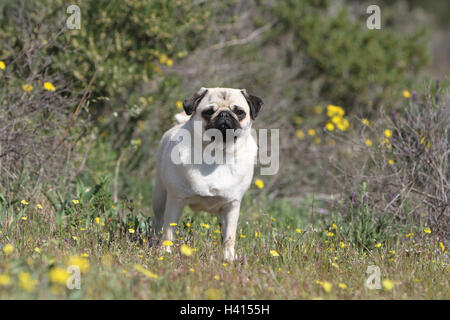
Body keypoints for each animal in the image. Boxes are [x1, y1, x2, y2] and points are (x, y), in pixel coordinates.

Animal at [152, 87, 262, 260]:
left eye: (239, 112)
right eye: (208, 112)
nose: (224, 114)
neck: (216, 153)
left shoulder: (232, 206)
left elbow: (229, 236)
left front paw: (228, 258)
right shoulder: (175, 200)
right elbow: (168, 231)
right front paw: (166, 252)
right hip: (160, 196)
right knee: (157, 222)